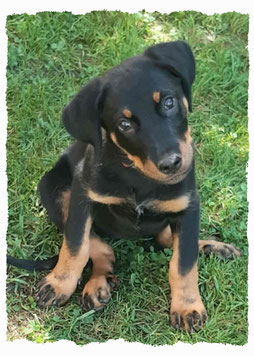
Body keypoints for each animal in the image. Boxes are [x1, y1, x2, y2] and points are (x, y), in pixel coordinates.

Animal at [6, 41, 241, 330]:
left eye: (169, 102)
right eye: (124, 124)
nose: (172, 164)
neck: (137, 174)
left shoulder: (188, 205)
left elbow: (183, 263)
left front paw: (187, 306)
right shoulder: (83, 195)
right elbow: (76, 247)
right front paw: (59, 283)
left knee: (170, 240)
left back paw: (213, 247)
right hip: (51, 189)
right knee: (103, 247)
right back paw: (98, 283)